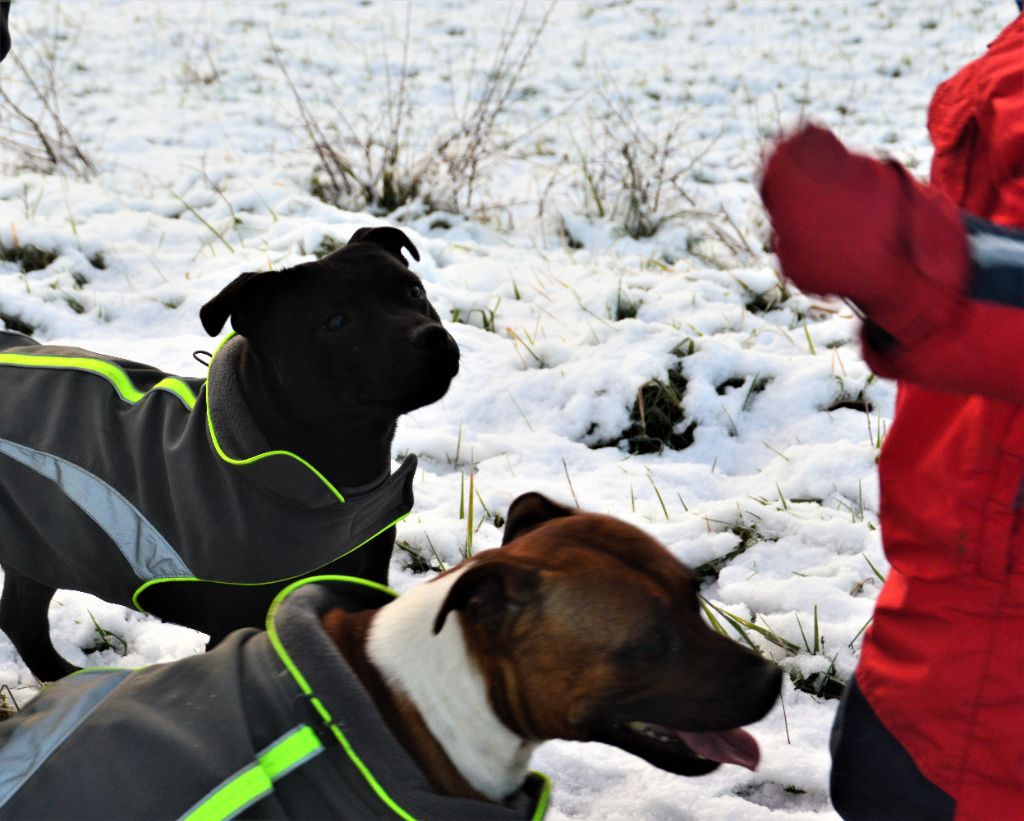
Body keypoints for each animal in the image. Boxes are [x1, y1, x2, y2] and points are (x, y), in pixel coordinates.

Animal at [0, 226, 459, 682]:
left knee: (21, 617)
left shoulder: (363, 577)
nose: (433, 337)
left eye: (414, 291)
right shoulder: (240, 621)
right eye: (336, 322)